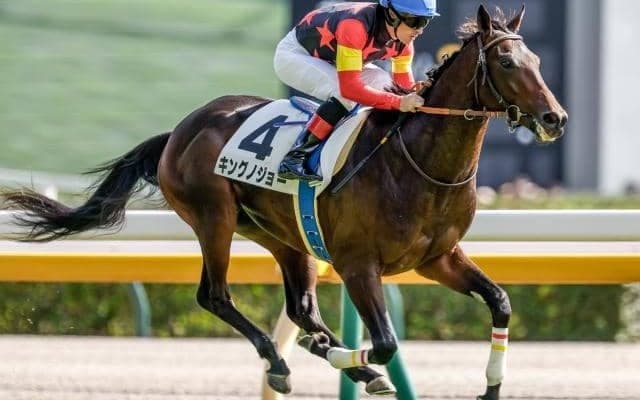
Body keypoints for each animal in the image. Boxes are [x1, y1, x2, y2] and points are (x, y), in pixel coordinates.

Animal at [1, 5, 566, 400]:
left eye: (538, 60)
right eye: (507, 60)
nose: (554, 118)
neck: (417, 163)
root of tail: (181, 129)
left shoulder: (436, 259)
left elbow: (500, 301)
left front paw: (491, 386)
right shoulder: (359, 265)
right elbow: (385, 341)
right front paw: (347, 360)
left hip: (284, 236)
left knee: (300, 308)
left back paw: (328, 352)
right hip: (214, 218)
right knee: (215, 296)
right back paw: (282, 360)